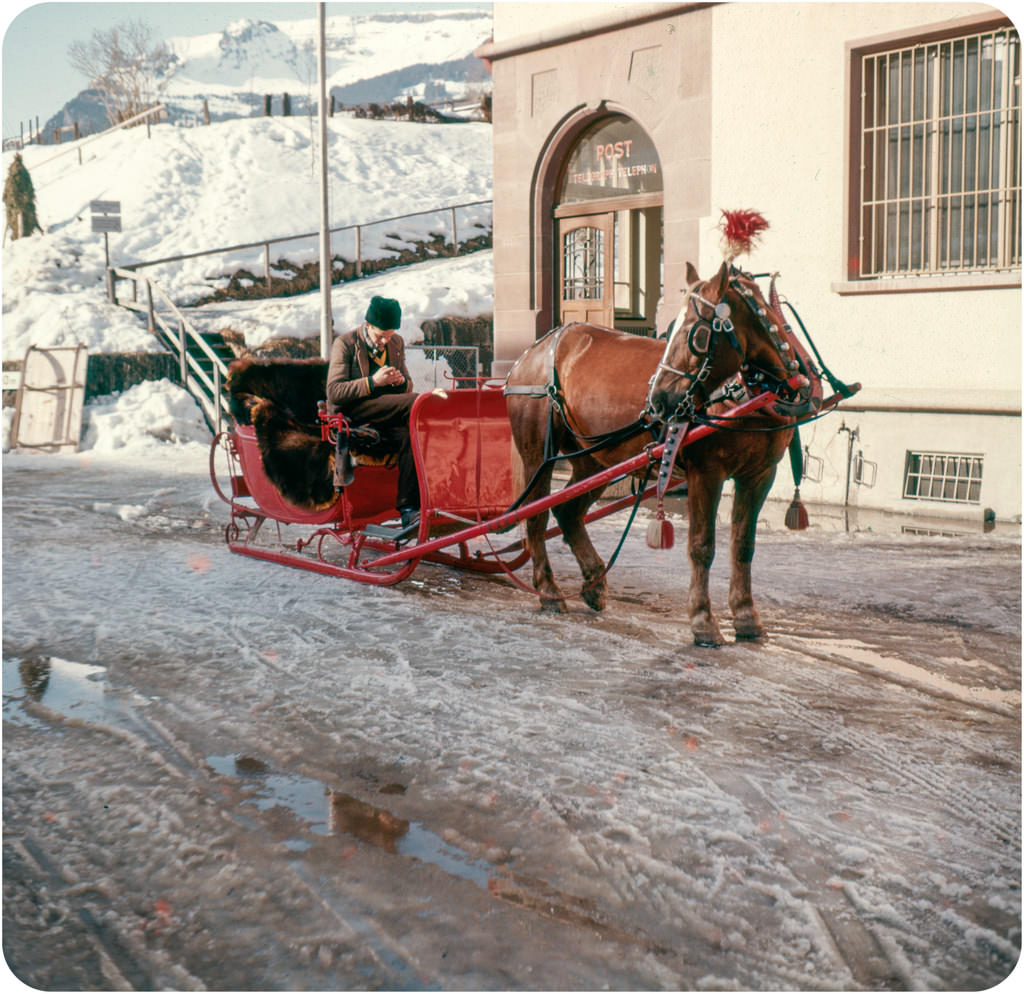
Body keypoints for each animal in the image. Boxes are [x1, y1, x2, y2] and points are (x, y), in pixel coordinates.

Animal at [503, 257, 815, 646]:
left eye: (695, 334)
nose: (659, 399)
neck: (750, 393)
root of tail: (531, 353)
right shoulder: (706, 472)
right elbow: (702, 545)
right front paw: (703, 620)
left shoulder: (760, 474)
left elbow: (743, 545)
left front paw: (746, 616)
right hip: (538, 456)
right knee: (535, 516)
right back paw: (548, 590)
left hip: (594, 459)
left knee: (568, 511)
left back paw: (593, 582)